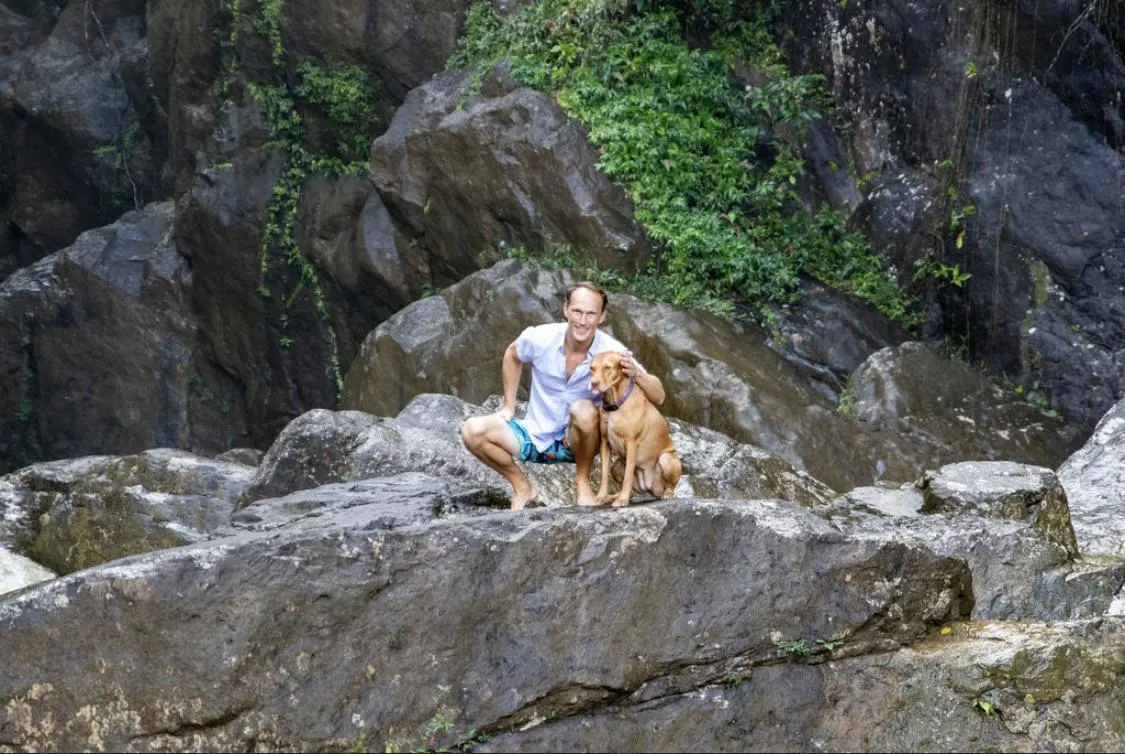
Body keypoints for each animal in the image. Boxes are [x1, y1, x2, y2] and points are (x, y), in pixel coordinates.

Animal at [594, 353, 679, 508]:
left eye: (607, 367)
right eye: (591, 368)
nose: (593, 383)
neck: (615, 405)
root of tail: (649, 487)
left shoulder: (631, 443)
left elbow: (628, 475)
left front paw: (622, 500)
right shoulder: (605, 443)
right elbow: (603, 474)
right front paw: (601, 496)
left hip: (666, 459)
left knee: (671, 487)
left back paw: (667, 494)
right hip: (616, 466)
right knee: (631, 490)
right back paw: (614, 496)